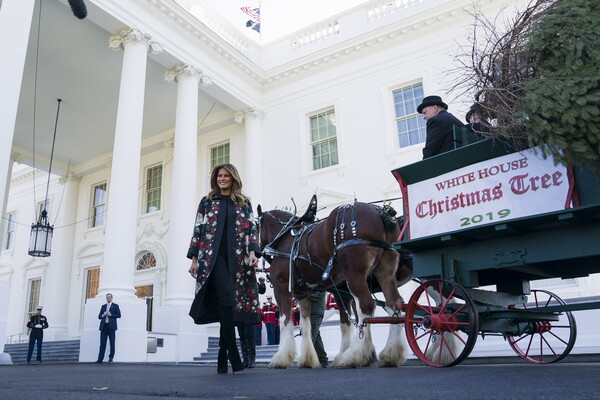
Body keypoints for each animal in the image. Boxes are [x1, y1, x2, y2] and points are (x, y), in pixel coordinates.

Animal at [255, 200, 414, 368]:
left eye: (255, 226)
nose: (256, 253)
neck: (284, 238)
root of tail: (380, 212)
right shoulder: (305, 294)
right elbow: (308, 325)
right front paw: (308, 359)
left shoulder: (282, 287)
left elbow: (285, 320)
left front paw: (281, 357)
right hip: (385, 270)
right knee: (394, 304)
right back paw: (391, 353)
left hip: (355, 274)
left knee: (366, 305)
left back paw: (355, 355)